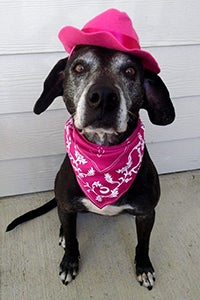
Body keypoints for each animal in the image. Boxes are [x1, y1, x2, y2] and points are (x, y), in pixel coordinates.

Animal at [6, 9, 175, 290]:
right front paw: (69, 262)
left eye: (130, 71)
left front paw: (144, 267)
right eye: (79, 67)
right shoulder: (66, 205)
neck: (101, 156)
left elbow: (143, 243)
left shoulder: (147, 213)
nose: (104, 97)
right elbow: (73, 238)